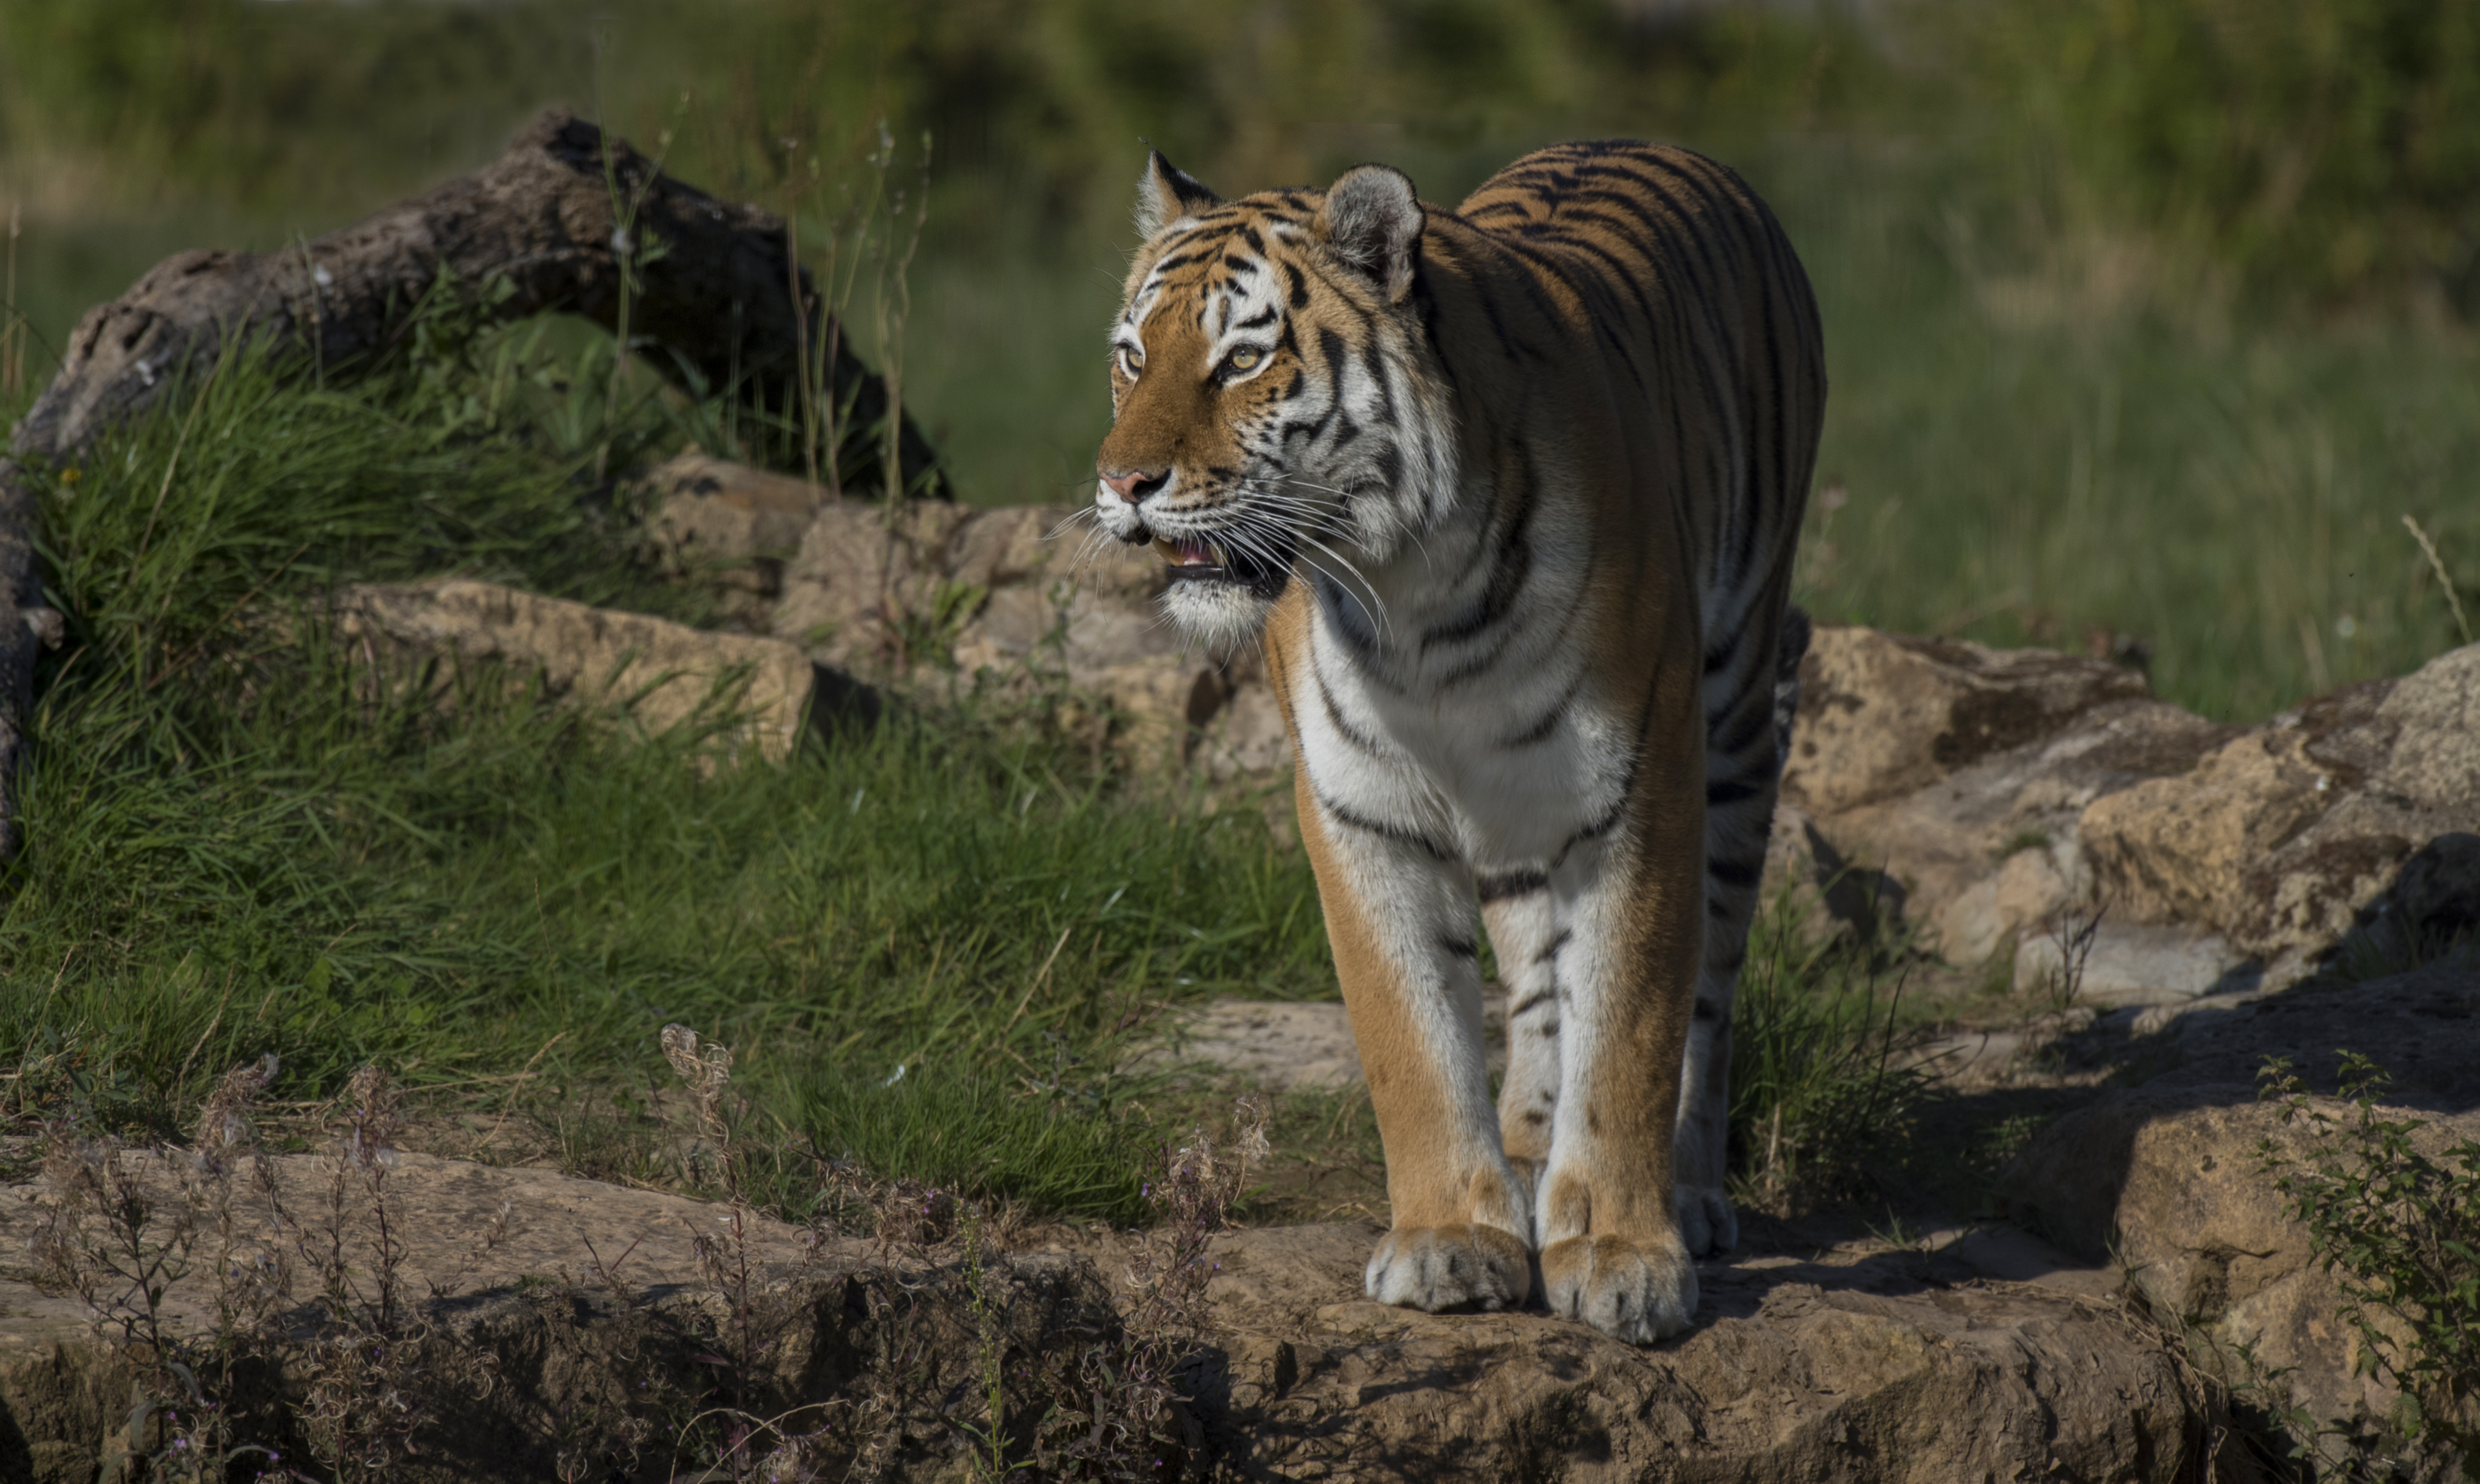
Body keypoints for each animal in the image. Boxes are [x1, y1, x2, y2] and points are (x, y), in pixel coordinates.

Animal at [1096, 142, 1835, 1350]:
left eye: (1242, 360)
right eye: (1130, 358)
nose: (1121, 487)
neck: (1417, 598)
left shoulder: (1642, 787)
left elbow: (1628, 1023)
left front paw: (1625, 1256)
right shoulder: (1360, 807)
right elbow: (1412, 1035)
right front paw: (1452, 1238)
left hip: (1732, 714)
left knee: (1707, 986)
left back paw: (1683, 1193)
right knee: (1537, 976)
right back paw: (1534, 1162)